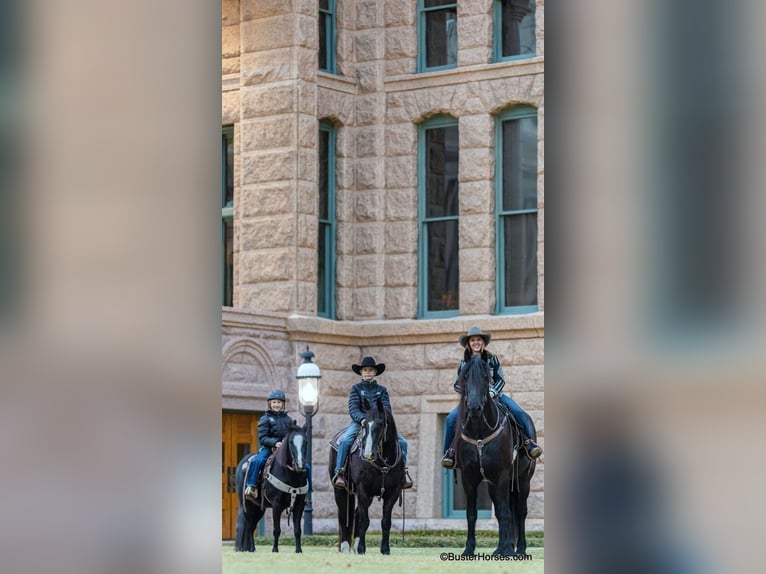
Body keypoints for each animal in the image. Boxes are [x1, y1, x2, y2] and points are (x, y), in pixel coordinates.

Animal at [234, 424, 308, 552]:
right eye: (290, 442)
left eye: (306, 442)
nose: (300, 465)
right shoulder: (276, 505)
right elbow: (276, 529)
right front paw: (275, 550)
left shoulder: (299, 505)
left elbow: (297, 530)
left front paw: (298, 550)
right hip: (246, 505)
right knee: (249, 527)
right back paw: (251, 549)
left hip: (258, 508)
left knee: (252, 526)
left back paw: (252, 549)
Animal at [330, 398, 408, 556]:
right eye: (364, 424)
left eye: (381, 424)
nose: (367, 454)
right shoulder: (362, 490)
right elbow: (364, 521)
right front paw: (361, 549)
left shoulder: (393, 492)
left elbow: (385, 522)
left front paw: (385, 549)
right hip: (340, 490)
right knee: (343, 515)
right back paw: (346, 547)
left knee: (355, 514)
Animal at [460, 356, 536, 560]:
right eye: (465, 377)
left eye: (487, 378)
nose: (474, 407)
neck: (479, 431)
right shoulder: (468, 478)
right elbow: (472, 514)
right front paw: (469, 549)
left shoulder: (502, 475)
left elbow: (504, 512)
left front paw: (508, 549)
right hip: (495, 485)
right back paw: (502, 547)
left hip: (523, 480)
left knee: (520, 511)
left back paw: (520, 549)